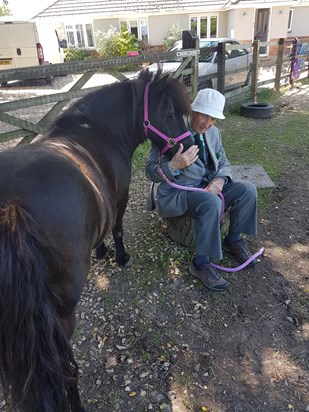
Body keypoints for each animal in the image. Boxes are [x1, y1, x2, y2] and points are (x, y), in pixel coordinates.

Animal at [0, 69, 192, 410]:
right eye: (170, 114)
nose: (192, 146)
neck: (97, 131)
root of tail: (11, 207)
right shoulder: (120, 197)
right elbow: (117, 229)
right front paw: (120, 256)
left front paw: (101, 251)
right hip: (61, 316)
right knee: (63, 367)